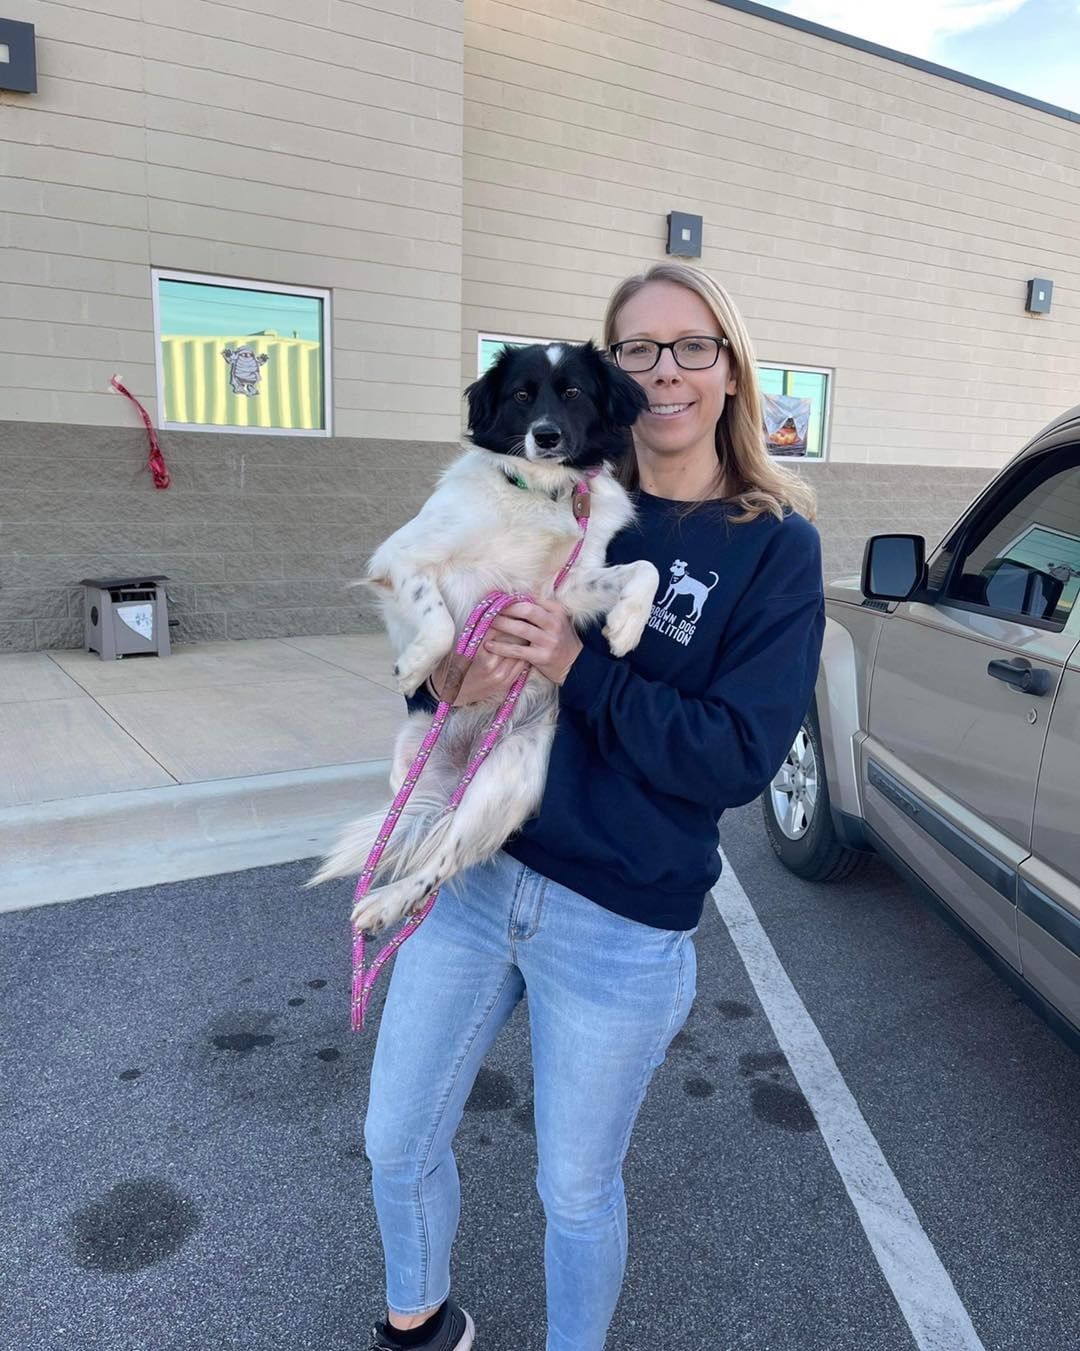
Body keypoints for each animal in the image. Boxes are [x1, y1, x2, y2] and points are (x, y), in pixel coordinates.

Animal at [310, 343, 659, 934]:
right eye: (521, 395)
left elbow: (645, 569)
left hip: (511, 770)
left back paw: (389, 903)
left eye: (573, 392)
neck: (538, 492)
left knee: (445, 854)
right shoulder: (399, 559)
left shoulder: (564, 591)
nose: (546, 436)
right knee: (426, 833)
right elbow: (442, 622)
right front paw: (414, 665)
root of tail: (461, 769)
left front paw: (626, 628)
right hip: (410, 755)